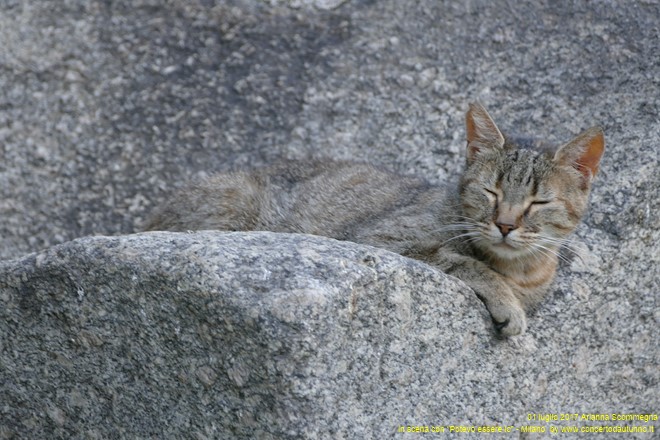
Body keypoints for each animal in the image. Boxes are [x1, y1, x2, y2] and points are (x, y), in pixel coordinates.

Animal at [144, 104, 604, 336]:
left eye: (538, 202)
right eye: (490, 191)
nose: (506, 224)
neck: (522, 270)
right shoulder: (385, 239)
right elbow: (465, 263)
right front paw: (506, 302)